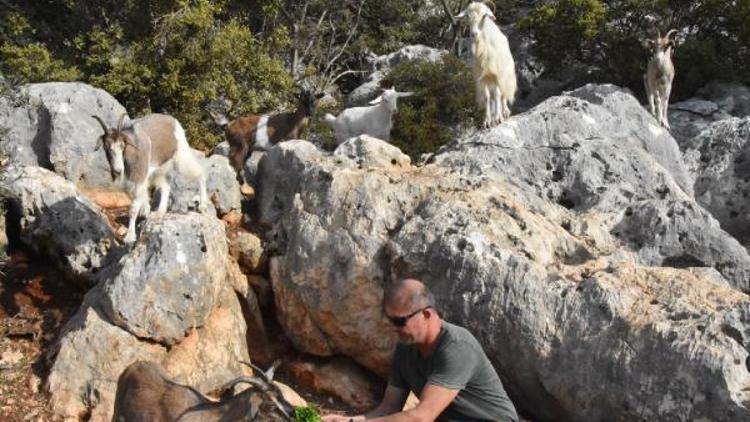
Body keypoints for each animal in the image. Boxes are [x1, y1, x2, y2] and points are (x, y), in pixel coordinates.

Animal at [93, 113, 209, 244]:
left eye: (122, 146)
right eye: (106, 147)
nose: (118, 170)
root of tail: (172, 120)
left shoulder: (139, 178)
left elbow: (133, 208)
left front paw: (130, 236)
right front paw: (146, 211)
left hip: (181, 155)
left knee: (200, 173)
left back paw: (203, 206)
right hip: (160, 169)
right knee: (166, 185)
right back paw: (159, 212)